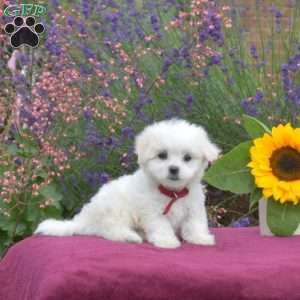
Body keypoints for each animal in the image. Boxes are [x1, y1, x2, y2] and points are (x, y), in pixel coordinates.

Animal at [36, 119, 221, 248]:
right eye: (162, 155)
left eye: (187, 158)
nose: (174, 169)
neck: (172, 192)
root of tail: (83, 219)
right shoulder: (153, 211)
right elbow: (161, 225)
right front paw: (167, 241)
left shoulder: (194, 206)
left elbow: (195, 223)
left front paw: (200, 238)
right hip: (116, 209)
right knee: (109, 230)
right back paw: (130, 236)